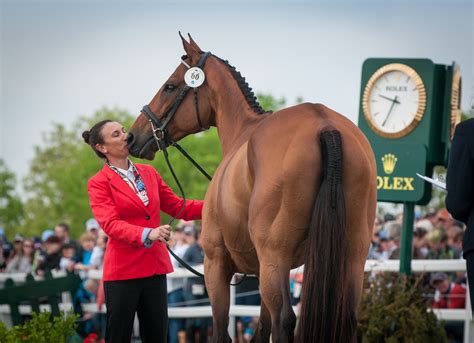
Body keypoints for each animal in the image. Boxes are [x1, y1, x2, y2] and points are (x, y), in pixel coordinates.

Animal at [127, 35, 378, 343]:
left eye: (170, 86)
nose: (132, 136)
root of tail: (325, 125)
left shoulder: (216, 264)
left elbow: (222, 329)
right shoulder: (262, 270)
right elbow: (261, 328)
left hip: (275, 257)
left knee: (285, 320)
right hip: (352, 255)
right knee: (347, 316)